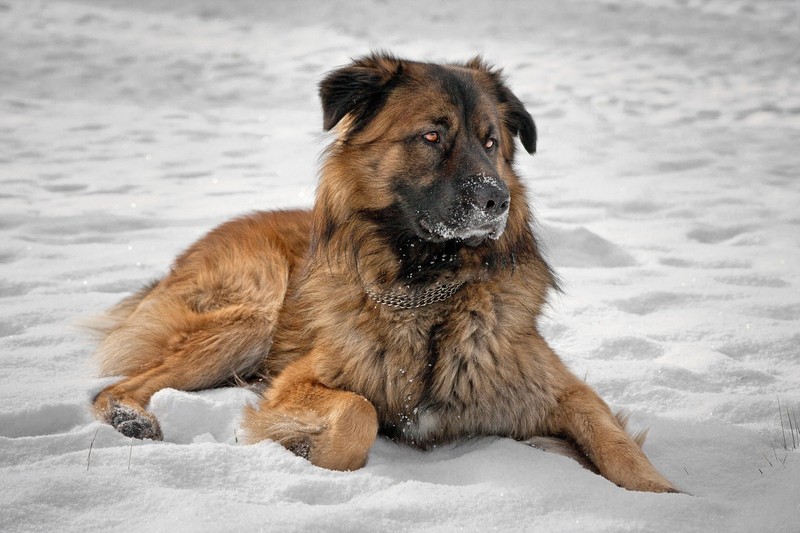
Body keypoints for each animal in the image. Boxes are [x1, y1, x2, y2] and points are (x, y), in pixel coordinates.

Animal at [87, 52, 680, 492]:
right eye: (432, 136)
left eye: (491, 141)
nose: (497, 200)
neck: (428, 293)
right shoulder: (299, 380)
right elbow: (358, 412)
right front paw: (308, 453)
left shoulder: (558, 390)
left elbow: (616, 445)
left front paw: (669, 498)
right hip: (252, 317)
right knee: (116, 386)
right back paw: (130, 418)